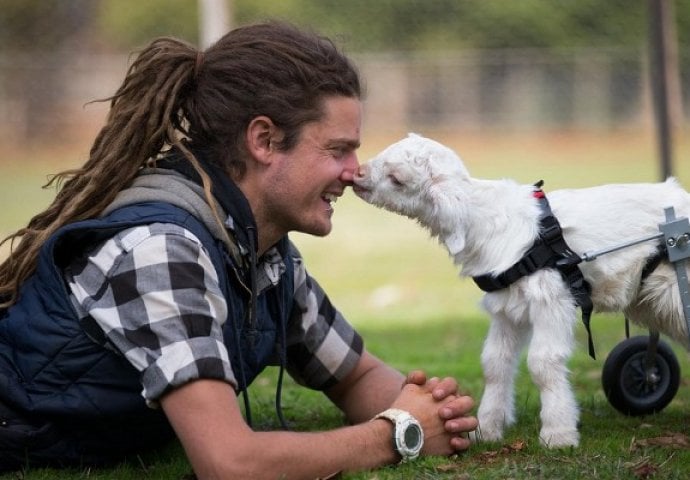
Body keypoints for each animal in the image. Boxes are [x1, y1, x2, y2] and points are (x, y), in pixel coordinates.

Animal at [352, 131, 688, 446]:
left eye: (397, 179)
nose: (357, 175)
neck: (484, 220)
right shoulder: (506, 308)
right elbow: (494, 363)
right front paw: (486, 429)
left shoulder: (550, 299)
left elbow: (542, 364)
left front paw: (558, 434)